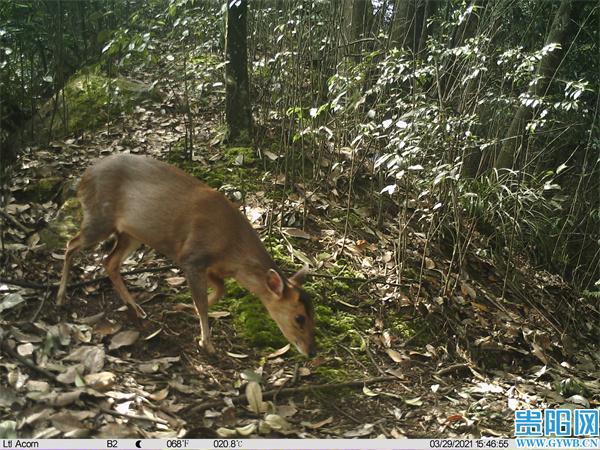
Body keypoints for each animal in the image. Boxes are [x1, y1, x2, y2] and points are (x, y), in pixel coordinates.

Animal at [56, 153, 316, 356]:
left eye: (313, 313)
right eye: (299, 318)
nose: (312, 352)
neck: (232, 249)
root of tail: (82, 180)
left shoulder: (210, 266)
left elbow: (219, 291)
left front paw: (182, 307)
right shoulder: (192, 257)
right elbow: (202, 302)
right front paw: (207, 343)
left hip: (131, 233)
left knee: (109, 262)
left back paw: (136, 308)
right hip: (100, 219)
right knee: (71, 244)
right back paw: (60, 297)